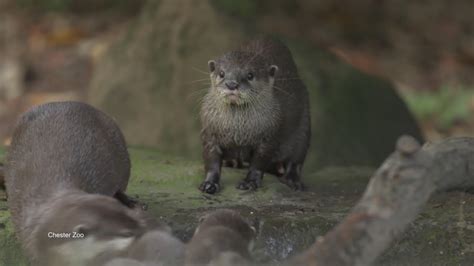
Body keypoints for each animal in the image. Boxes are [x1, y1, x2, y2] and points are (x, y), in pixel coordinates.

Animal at [198, 36, 310, 193]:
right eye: (222, 73)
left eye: (250, 75)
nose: (232, 84)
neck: (239, 131)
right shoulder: (209, 131)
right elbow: (211, 162)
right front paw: (209, 183)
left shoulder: (268, 137)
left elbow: (258, 163)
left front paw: (249, 182)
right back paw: (232, 161)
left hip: (304, 127)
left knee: (296, 160)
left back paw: (292, 179)